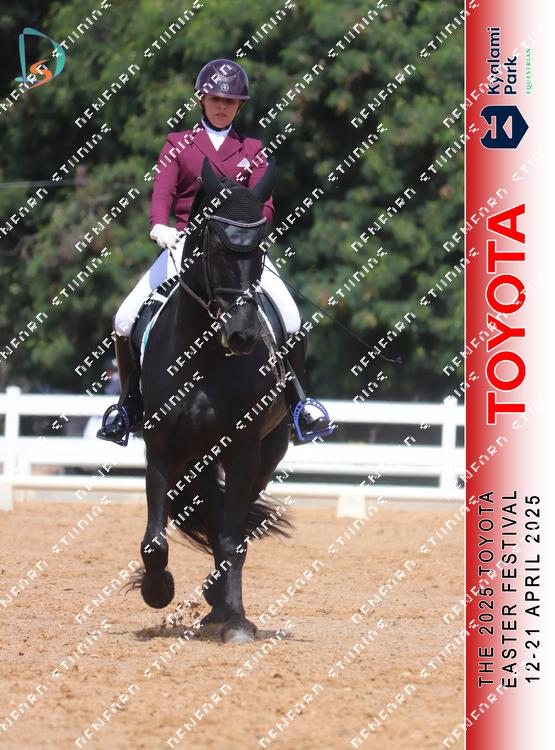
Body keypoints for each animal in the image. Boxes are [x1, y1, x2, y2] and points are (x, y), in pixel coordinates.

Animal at [131, 158, 294, 643]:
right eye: (218, 247)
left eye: (260, 249)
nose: (241, 334)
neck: (202, 355)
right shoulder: (160, 448)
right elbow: (155, 540)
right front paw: (157, 590)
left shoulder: (242, 450)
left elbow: (230, 537)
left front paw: (236, 620)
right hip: (197, 459)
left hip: (267, 453)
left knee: (229, 523)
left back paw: (220, 603)